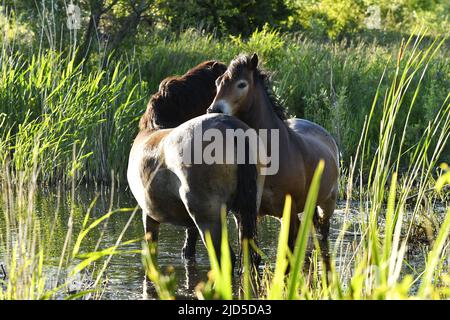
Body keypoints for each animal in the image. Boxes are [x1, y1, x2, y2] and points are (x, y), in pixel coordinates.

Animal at [128, 58, 258, 266]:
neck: (156, 126)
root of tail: (229, 127)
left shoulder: (148, 215)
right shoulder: (191, 226)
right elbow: (188, 248)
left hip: (209, 220)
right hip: (242, 213)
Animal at [207, 54, 338, 264]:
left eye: (242, 84)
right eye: (218, 82)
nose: (214, 111)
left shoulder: (288, 211)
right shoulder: (246, 213)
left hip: (326, 205)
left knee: (322, 234)